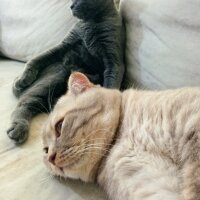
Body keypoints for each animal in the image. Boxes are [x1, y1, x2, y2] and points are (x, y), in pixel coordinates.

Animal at [7, 0, 125, 144]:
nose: (71, 6)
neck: (91, 23)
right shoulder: (65, 45)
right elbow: (38, 58)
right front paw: (23, 78)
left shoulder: (114, 60)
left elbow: (110, 85)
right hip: (56, 76)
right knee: (26, 102)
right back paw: (18, 127)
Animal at [42, 72, 200, 200]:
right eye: (45, 150)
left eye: (59, 126)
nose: (50, 158)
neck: (120, 136)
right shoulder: (150, 184)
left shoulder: (192, 124)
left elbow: (194, 184)